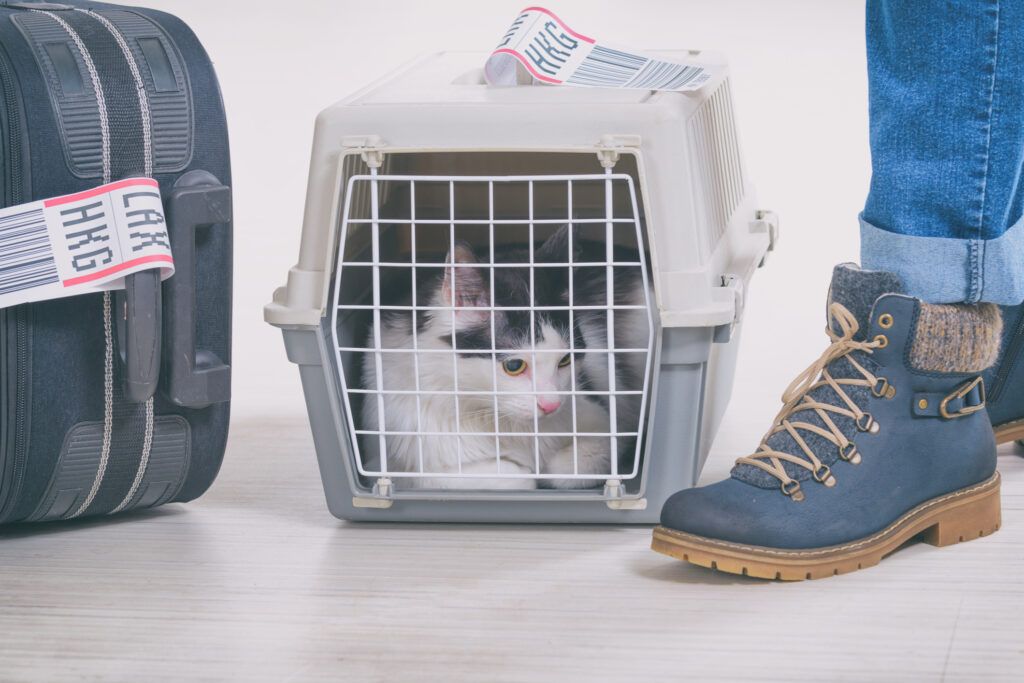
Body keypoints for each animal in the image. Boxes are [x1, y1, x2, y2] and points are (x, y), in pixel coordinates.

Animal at [360, 227, 647, 489]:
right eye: (514, 366)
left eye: (566, 360)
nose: (552, 405)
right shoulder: (393, 465)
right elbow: (517, 476)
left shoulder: (606, 425)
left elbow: (566, 467)